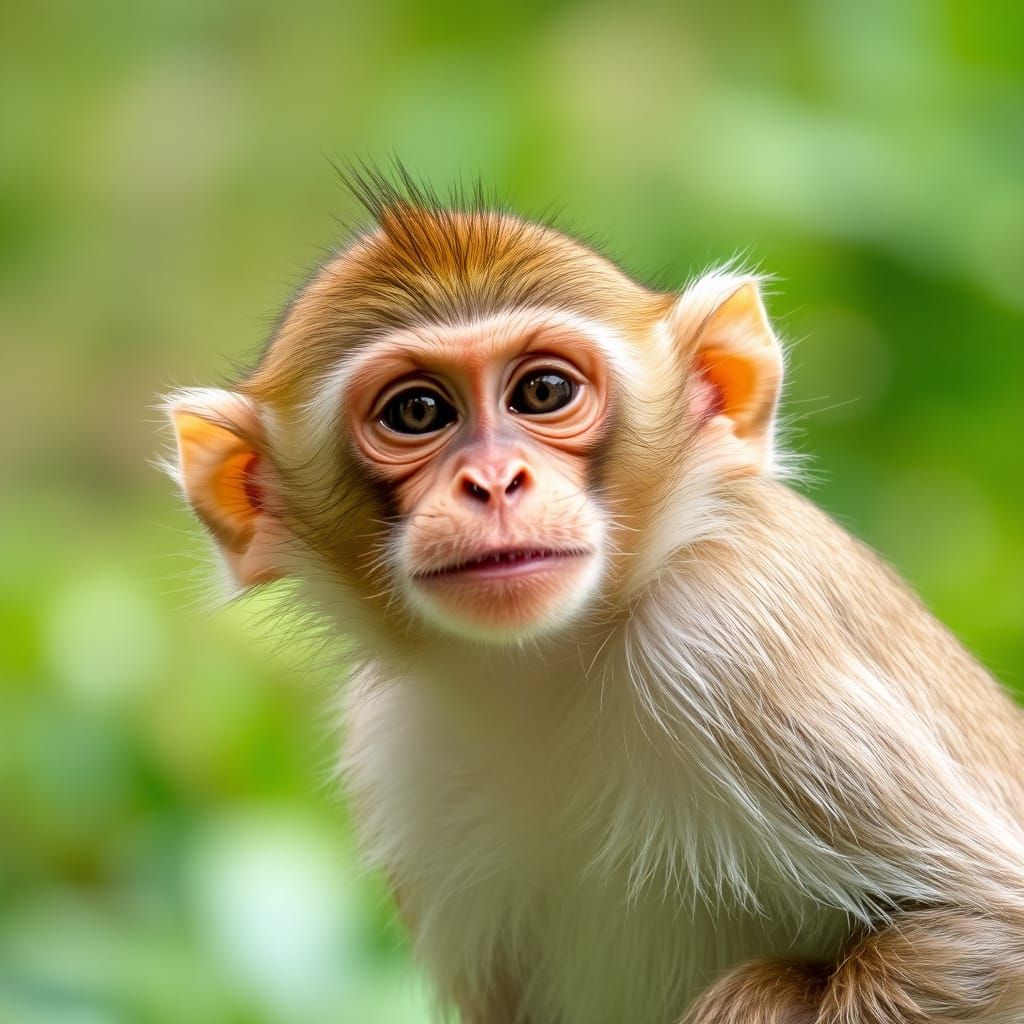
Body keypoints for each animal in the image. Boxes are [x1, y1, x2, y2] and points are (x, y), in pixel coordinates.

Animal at [162, 174, 1024, 1024]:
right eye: (417, 411)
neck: (550, 674)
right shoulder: (390, 741)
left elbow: (993, 925)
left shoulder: (726, 642)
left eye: (543, 391)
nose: (495, 482)